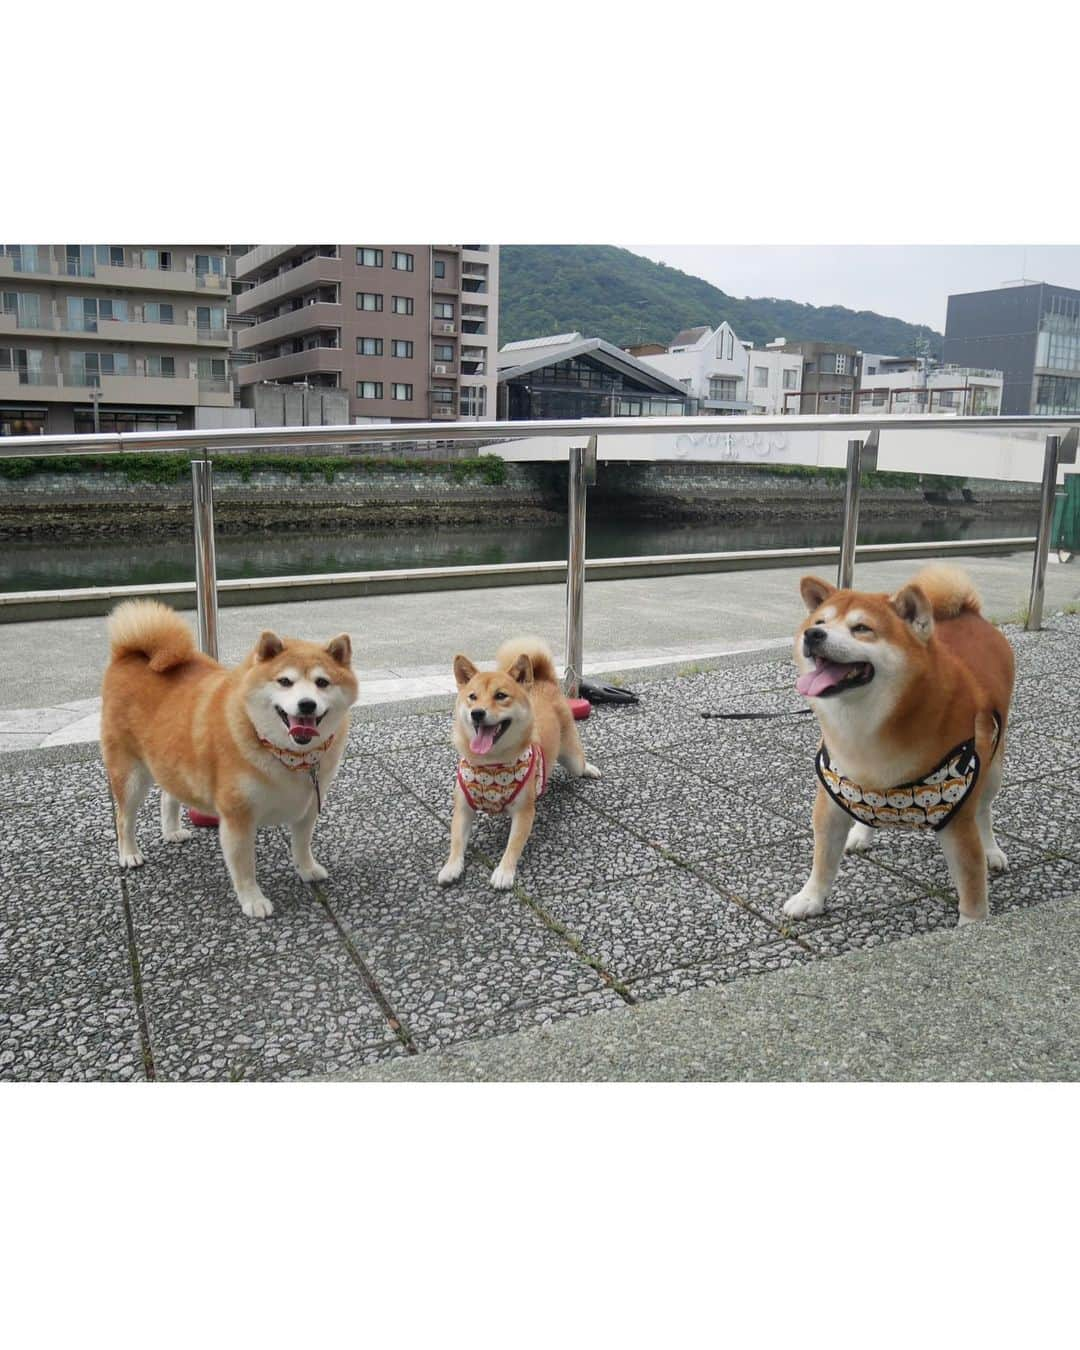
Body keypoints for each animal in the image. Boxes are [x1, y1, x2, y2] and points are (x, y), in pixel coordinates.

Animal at [101, 602, 356, 918]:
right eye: (285, 681)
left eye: (322, 683)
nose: (306, 704)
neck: (289, 756)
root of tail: (128, 653)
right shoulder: (238, 818)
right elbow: (245, 867)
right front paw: (253, 900)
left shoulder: (307, 807)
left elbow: (302, 845)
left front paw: (307, 869)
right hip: (130, 774)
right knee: (124, 818)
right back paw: (129, 854)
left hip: (171, 760)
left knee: (168, 795)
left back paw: (171, 831)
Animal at [440, 637, 607, 891]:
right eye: (472, 697)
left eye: (500, 696)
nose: (477, 713)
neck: (491, 765)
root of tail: (543, 681)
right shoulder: (463, 808)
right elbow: (457, 841)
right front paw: (451, 867)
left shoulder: (524, 811)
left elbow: (513, 845)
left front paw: (504, 872)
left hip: (572, 758)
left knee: (579, 762)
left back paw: (589, 769)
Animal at [783, 561, 1015, 928]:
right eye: (819, 623)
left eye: (861, 628)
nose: (813, 635)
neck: (866, 727)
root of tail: (968, 611)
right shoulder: (831, 801)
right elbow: (822, 860)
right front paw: (810, 898)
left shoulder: (958, 820)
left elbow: (971, 879)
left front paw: (972, 926)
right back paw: (862, 833)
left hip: (992, 770)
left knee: (985, 812)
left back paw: (992, 850)